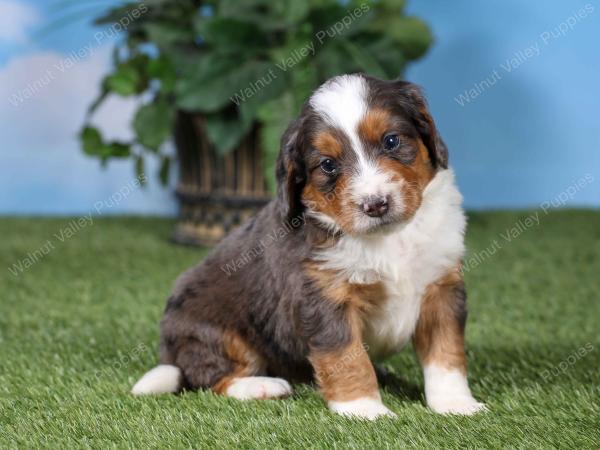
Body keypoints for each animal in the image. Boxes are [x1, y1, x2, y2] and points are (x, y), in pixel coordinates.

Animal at [132, 73, 488, 418]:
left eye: (391, 141)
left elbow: (446, 355)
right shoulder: (325, 297)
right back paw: (262, 386)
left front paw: (455, 404)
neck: (390, 238)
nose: (375, 205)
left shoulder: (441, 287)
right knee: (209, 376)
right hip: (215, 333)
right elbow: (347, 356)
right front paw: (363, 409)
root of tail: (170, 352)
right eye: (328, 164)